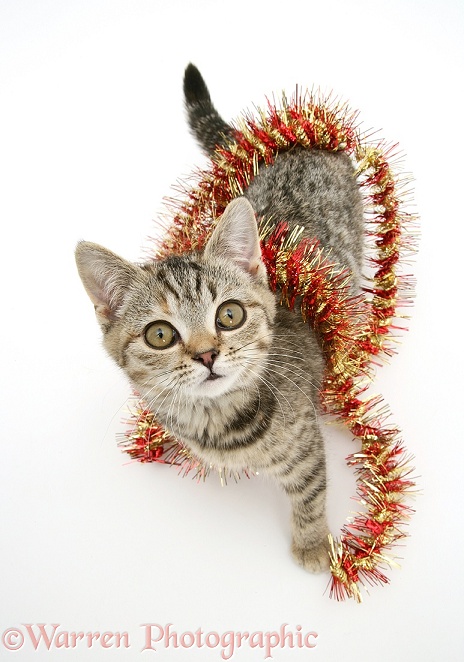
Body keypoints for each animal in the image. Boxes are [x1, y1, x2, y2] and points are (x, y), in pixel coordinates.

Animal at [118, 91, 416, 604]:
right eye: (160, 335)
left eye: (229, 315)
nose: (206, 354)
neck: (219, 422)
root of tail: (299, 141)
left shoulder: (305, 441)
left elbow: (310, 491)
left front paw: (313, 542)